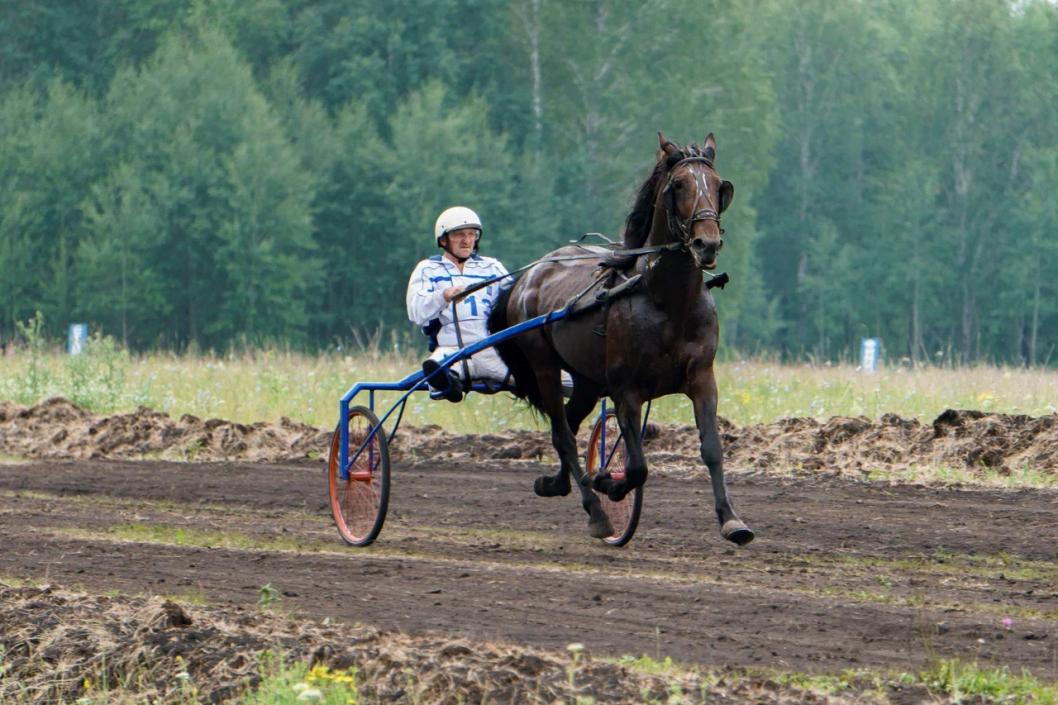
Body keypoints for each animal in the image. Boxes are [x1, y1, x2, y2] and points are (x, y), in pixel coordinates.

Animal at [486, 134, 753, 546]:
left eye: (718, 185)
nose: (706, 244)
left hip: (585, 379)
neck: (668, 301)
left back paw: (557, 483)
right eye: (679, 185)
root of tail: (529, 275)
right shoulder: (626, 389)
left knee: (568, 425)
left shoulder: (702, 379)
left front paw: (731, 519)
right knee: (562, 434)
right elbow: (638, 465)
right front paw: (609, 484)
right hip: (544, 365)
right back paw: (596, 511)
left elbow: (712, 449)